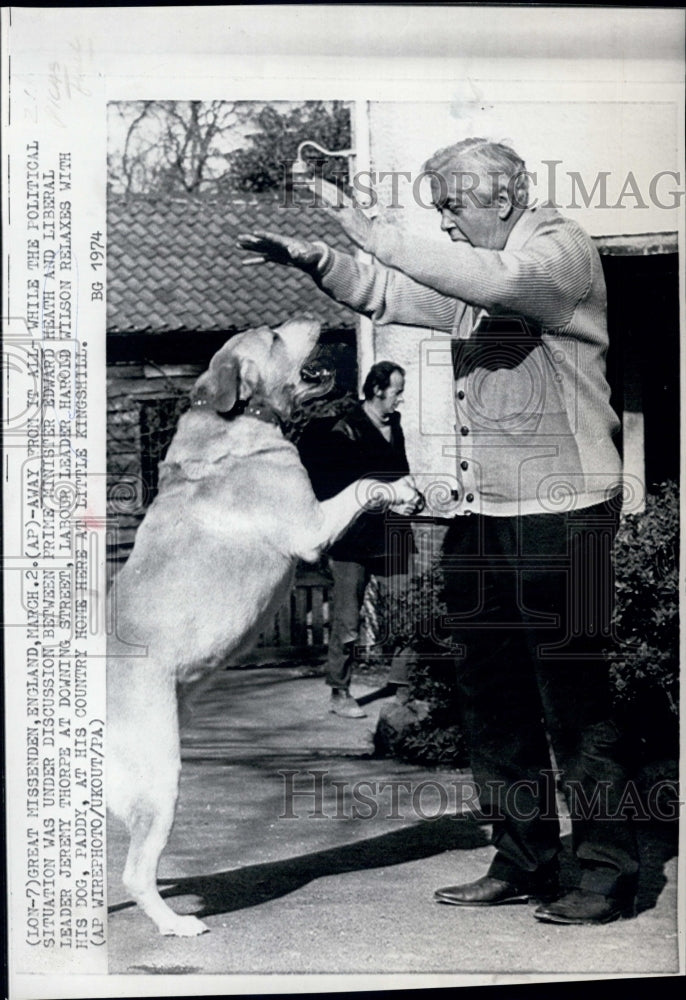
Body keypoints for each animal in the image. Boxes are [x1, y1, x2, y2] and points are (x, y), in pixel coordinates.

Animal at [107, 316, 420, 932]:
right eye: (273, 337)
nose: (314, 319)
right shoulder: (312, 525)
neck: (239, 418)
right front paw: (402, 489)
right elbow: (362, 484)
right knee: (136, 871)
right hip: (161, 777)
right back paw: (176, 924)